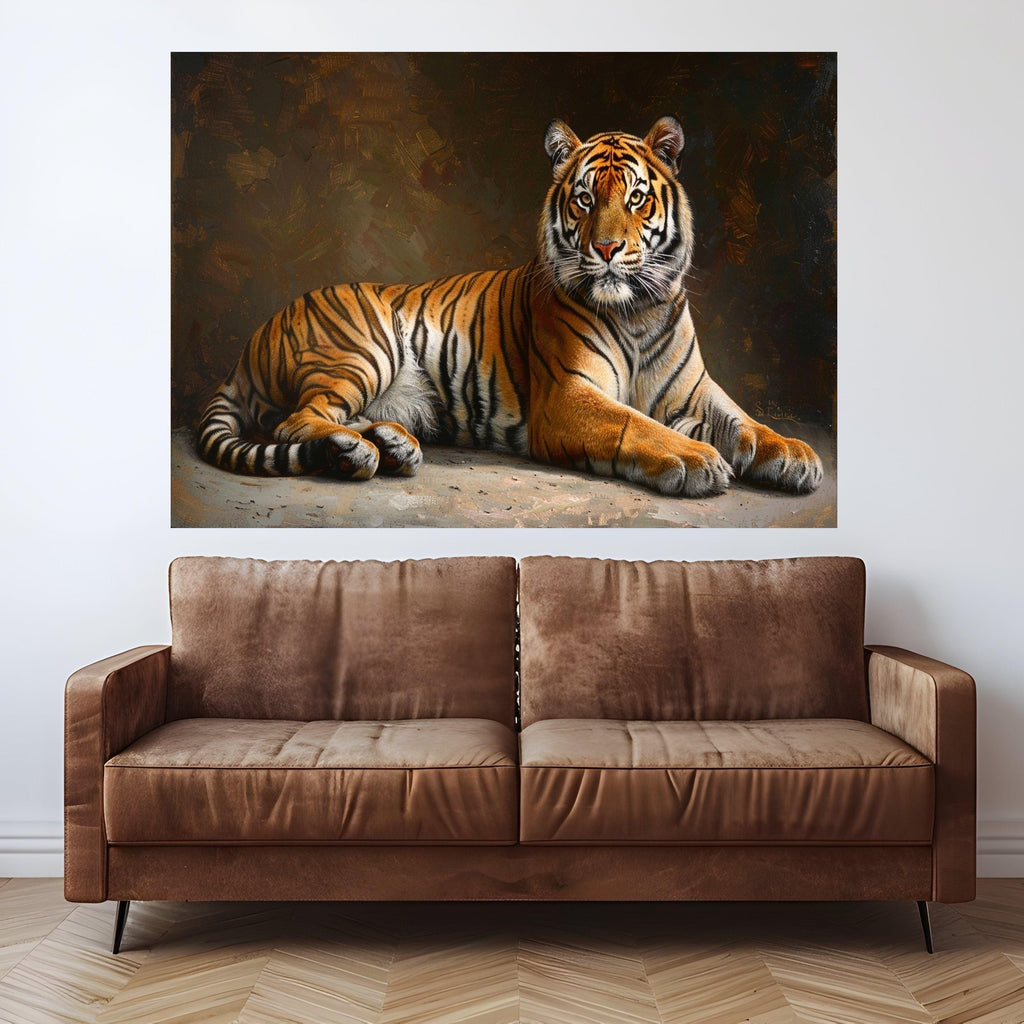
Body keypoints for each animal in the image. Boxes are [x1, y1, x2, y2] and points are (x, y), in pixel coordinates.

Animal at [197, 116, 823, 498]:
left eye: (636, 198)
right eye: (585, 198)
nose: (607, 248)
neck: (637, 313)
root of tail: (247, 347)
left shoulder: (695, 390)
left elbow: (745, 420)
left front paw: (794, 454)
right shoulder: (567, 396)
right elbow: (634, 423)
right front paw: (697, 460)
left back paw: (390, 446)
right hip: (361, 347)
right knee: (293, 420)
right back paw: (357, 452)